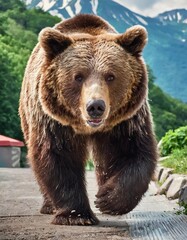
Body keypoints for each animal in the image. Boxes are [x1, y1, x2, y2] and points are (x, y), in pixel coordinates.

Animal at [19, 14, 157, 226]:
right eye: (78, 76)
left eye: (110, 76)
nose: (95, 107)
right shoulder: (54, 122)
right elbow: (58, 156)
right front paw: (76, 215)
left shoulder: (125, 121)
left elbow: (130, 152)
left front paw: (108, 199)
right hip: (28, 113)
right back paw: (49, 205)